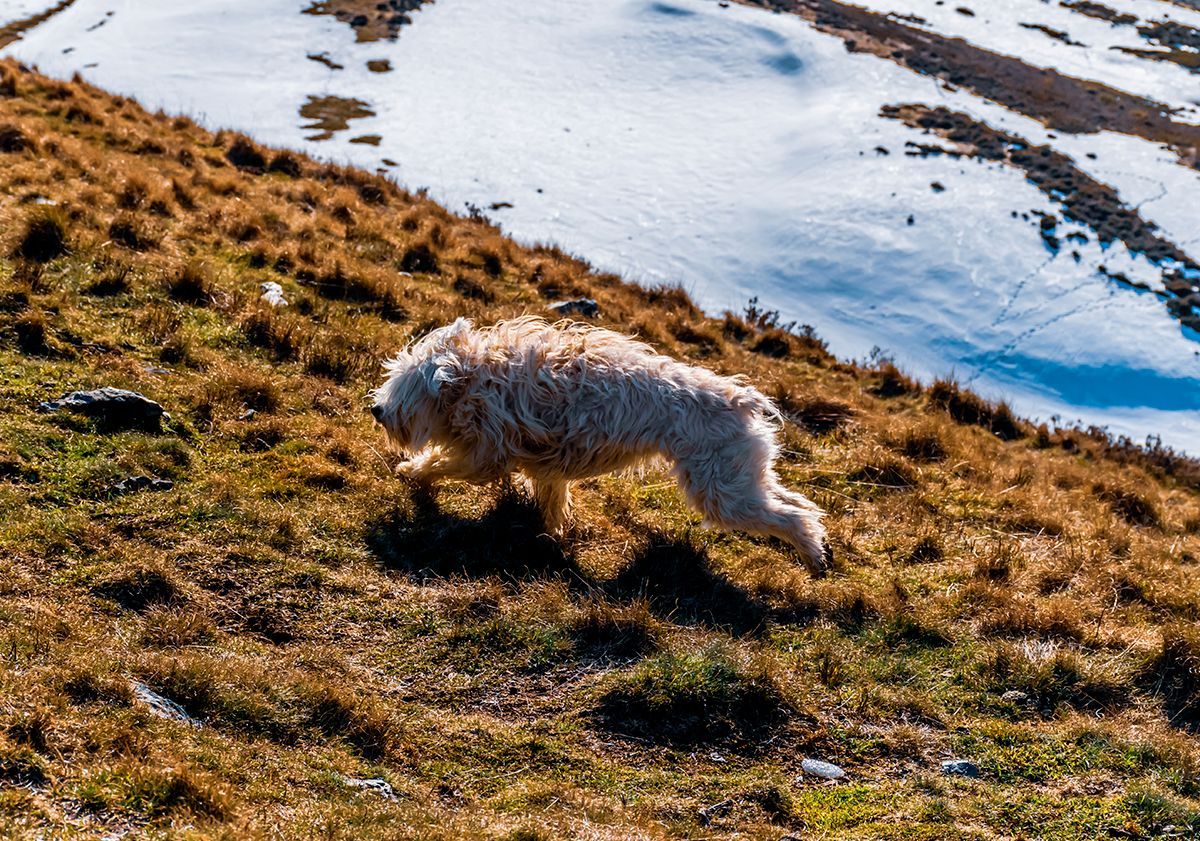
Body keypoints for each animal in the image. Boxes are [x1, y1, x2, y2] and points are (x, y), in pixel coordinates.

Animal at [369, 319, 830, 573]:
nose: (376, 409)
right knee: (799, 504)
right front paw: (551, 531)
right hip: (742, 477)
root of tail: (744, 400)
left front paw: (412, 473)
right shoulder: (541, 461)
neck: (479, 376)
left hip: (721, 491)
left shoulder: (487, 453)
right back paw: (819, 547)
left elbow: (445, 464)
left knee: (791, 517)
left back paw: (812, 556)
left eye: (405, 387)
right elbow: (551, 495)